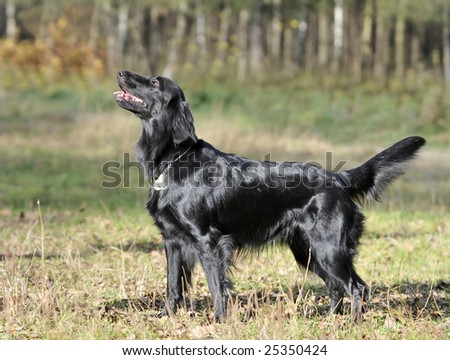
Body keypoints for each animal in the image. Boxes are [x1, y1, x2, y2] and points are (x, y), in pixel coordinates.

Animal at [113, 71, 426, 320]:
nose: (121, 72)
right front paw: (165, 317)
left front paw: (219, 321)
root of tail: (338, 178)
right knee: (337, 287)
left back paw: (351, 324)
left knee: (356, 286)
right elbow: (172, 286)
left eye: (154, 81)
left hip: (328, 248)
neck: (176, 158)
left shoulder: (208, 240)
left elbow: (216, 286)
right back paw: (329, 320)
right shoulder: (172, 239)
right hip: (307, 250)